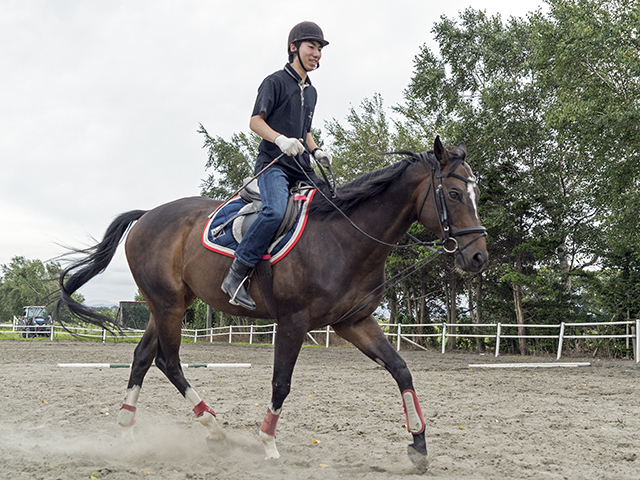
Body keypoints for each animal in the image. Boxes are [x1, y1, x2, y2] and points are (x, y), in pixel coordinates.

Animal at [55, 136, 488, 471]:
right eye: (453, 194)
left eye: (476, 194)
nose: (479, 256)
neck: (344, 236)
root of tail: (147, 215)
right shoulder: (293, 321)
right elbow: (281, 382)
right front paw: (267, 442)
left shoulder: (355, 321)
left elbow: (401, 369)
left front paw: (418, 446)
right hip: (168, 305)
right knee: (168, 360)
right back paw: (213, 427)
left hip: (166, 304)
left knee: (144, 357)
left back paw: (130, 430)